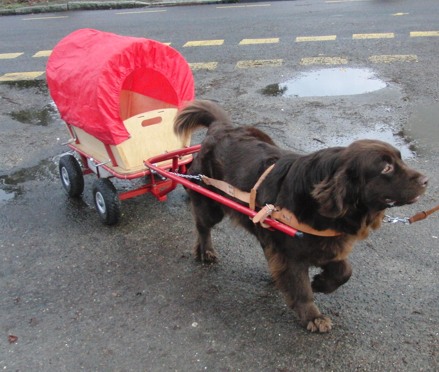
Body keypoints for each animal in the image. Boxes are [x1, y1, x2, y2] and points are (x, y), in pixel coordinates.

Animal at [174, 100, 428, 332]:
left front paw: (321, 283)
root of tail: (221, 127)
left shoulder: (326, 244)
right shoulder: (293, 255)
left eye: (401, 159)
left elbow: (345, 271)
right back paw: (206, 251)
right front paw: (313, 317)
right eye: (386, 168)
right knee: (203, 227)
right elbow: (301, 288)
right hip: (210, 203)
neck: (318, 203)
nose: (426, 180)